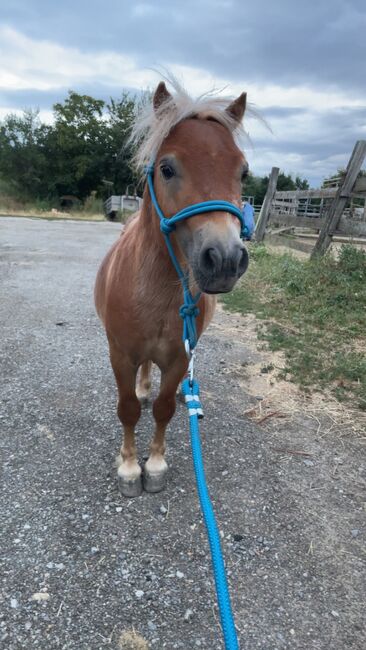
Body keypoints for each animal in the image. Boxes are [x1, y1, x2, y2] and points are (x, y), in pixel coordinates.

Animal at [94, 81, 249, 496]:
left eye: (243, 172)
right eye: (167, 168)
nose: (225, 259)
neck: (158, 291)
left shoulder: (180, 357)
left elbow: (164, 409)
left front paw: (156, 465)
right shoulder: (120, 356)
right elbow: (128, 409)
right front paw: (130, 468)